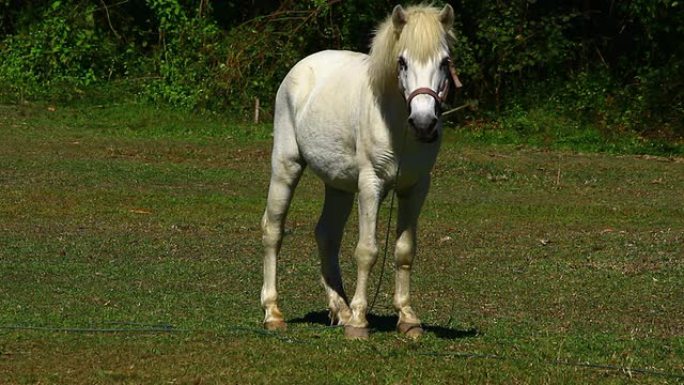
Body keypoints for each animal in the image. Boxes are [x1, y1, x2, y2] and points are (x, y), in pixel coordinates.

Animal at [262, 4, 460, 338]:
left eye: (444, 62)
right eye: (402, 62)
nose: (424, 123)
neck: (396, 124)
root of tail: (302, 67)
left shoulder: (416, 188)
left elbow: (404, 250)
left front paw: (407, 318)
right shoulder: (371, 185)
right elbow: (367, 251)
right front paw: (358, 321)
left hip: (339, 185)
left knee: (326, 235)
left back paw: (339, 309)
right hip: (286, 166)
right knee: (273, 230)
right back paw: (273, 313)